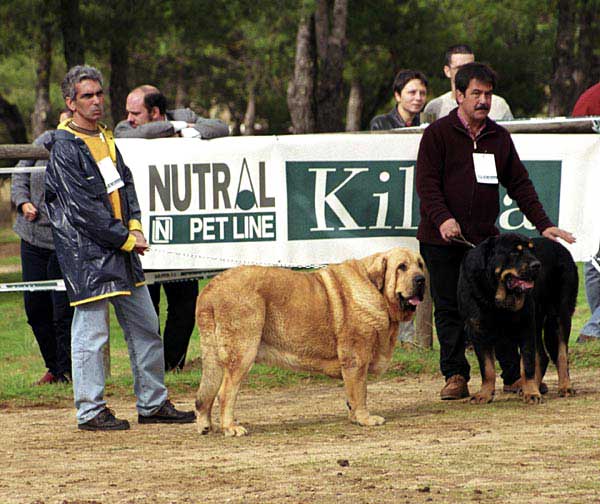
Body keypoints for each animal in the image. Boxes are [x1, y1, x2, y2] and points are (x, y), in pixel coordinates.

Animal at [195, 246, 424, 436]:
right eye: (402, 267)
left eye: (420, 265)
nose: (421, 279)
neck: (376, 290)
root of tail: (210, 288)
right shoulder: (356, 360)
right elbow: (360, 392)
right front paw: (365, 419)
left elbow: (351, 393)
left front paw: (353, 417)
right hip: (243, 352)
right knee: (225, 393)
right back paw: (231, 428)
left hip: (214, 355)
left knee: (206, 393)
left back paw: (206, 425)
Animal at [460, 233, 576, 406]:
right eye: (514, 252)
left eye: (532, 250)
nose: (537, 265)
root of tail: (562, 248)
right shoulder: (477, 330)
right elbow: (487, 368)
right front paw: (484, 394)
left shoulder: (525, 325)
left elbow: (527, 364)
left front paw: (532, 393)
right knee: (542, 356)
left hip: (559, 315)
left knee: (561, 355)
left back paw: (565, 387)